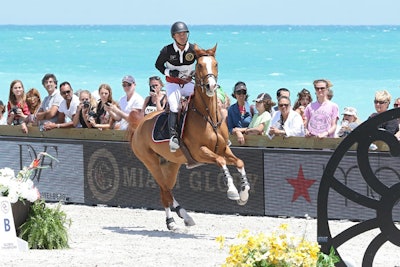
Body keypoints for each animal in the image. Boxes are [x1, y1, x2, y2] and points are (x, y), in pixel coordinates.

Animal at [128, 44, 250, 230]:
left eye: (216, 64)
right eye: (199, 65)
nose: (211, 86)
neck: (208, 115)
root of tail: (139, 125)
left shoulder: (222, 149)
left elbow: (239, 162)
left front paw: (244, 193)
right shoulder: (200, 152)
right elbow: (221, 161)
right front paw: (232, 191)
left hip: (171, 164)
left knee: (167, 189)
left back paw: (184, 216)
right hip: (151, 162)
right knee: (164, 191)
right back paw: (172, 221)